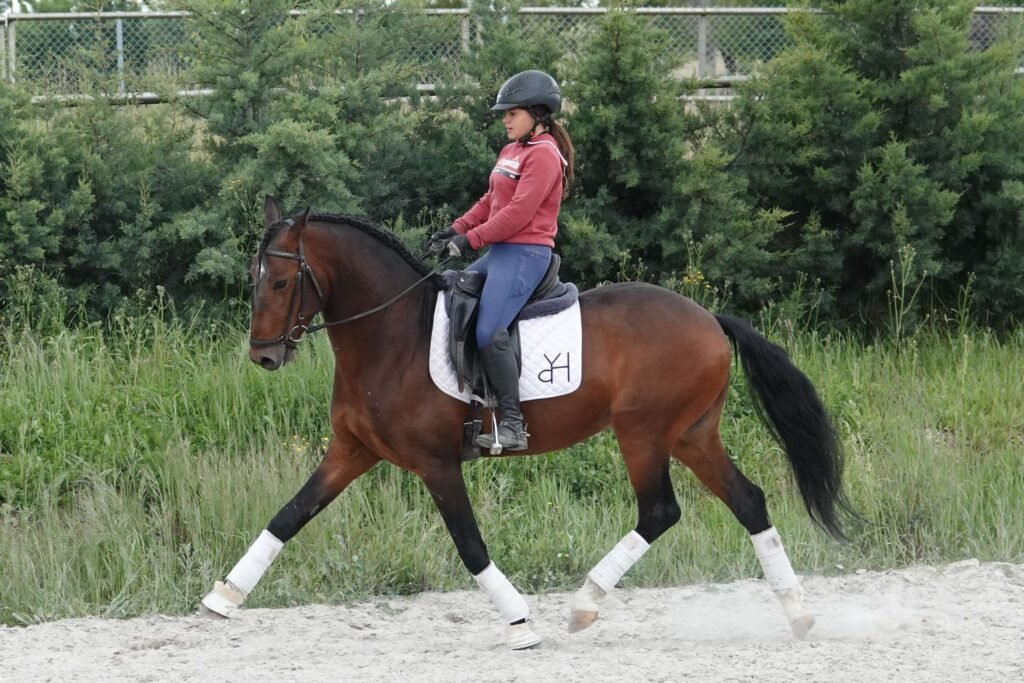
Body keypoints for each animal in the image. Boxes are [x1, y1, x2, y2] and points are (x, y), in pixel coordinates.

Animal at [199, 196, 854, 649]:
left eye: (282, 280)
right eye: (255, 279)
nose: (263, 356)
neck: (390, 335)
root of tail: (709, 318)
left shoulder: (436, 464)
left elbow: (470, 545)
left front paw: (519, 622)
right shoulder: (351, 451)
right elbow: (287, 517)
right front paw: (221, 598)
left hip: (643, 433)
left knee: (659, 511)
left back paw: (585, 604)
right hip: (692, 435)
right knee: (748, 500)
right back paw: (798, 614)